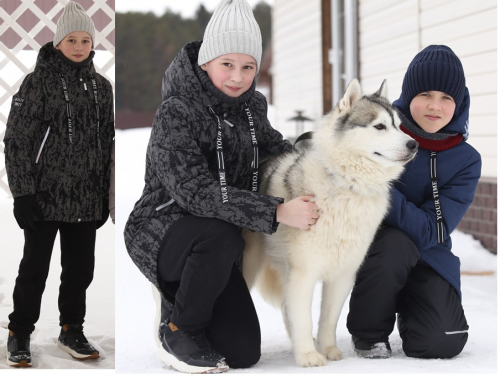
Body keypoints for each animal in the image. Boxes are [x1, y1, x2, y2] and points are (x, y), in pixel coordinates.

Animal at [242, 79, 418, 366]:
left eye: (398, 125)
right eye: (379, 126)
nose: (414, 145)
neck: (347, 186)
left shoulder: (343, 274)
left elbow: (328, 319)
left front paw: (327, 349)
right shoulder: (303, 273)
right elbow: (304, 318)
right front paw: (307, 357)